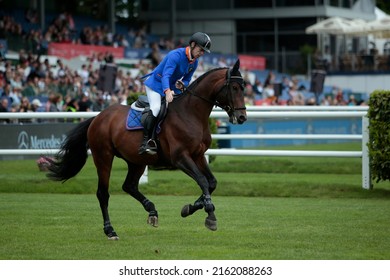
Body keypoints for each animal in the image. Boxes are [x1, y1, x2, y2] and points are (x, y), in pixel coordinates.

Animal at [46, 59, 247, 241]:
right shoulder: (181, 158)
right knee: (103, 193)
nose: (242, 117)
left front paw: (190, 208)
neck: (191, 113)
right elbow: (203, 181)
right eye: (234, 87)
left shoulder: (197, 156)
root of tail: (98, 117)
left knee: (129, 186)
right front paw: (210, 215)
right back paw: (110, 231)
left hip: (136, 161)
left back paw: (152, 211)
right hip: (103, 157)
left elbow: (211, 183)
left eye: (244, 88)